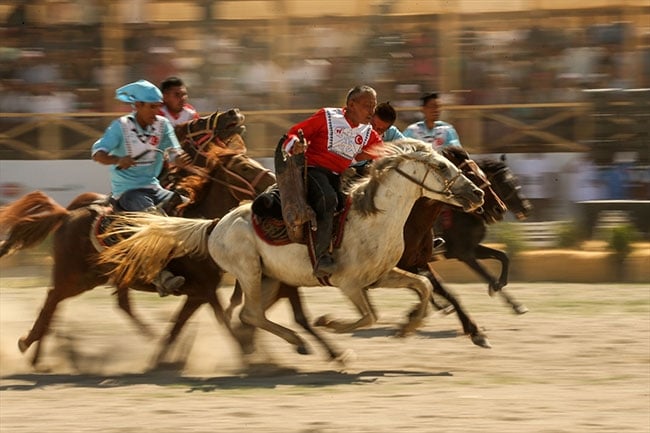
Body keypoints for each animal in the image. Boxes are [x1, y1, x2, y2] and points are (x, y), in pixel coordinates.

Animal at [0, 109, 276, 368]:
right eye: (244, 167)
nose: (273, 182)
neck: (201, 224)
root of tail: (67, 215)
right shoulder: (204, 288)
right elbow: (220, 320)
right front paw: (251, 355)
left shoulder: (199, 292)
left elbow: (179, 325)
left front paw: (164, 358)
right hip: (75, 276)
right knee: (52, 299)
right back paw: (30, 345)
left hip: (96, 277)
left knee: (83, 304)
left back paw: (40, 354)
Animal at [98, 139, 484, 358]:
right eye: (441, 166)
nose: (477, 193)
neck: (374, 219)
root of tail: (214, 224)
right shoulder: (349, 284)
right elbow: (369, 317)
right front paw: (330, 323)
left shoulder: (383, 275)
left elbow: (424, 286)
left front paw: (409, 326)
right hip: (250, 274)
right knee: (250, 315)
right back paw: (298, 343)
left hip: (270, 279)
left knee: (248, 316)